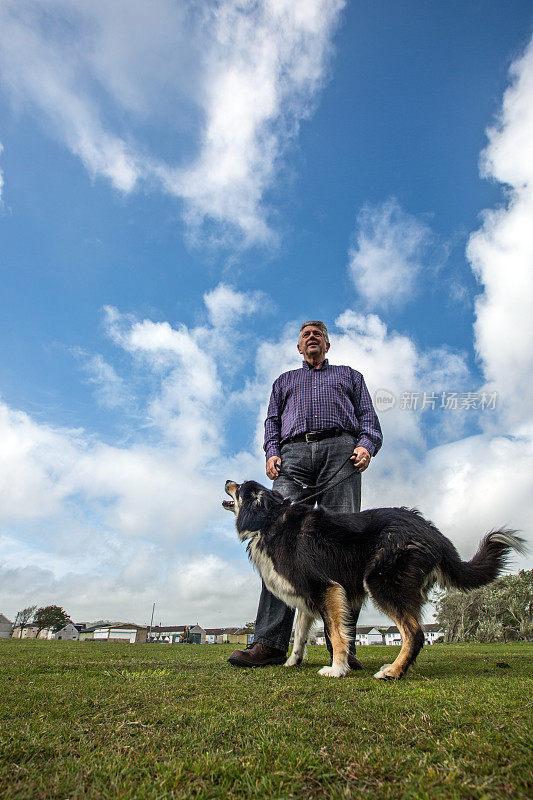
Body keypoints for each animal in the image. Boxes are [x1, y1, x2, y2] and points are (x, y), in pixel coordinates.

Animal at [221, 478, 524, 680]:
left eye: (241, 487)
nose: (227, 481)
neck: (271, 520)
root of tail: (432, 532)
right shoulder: (309, 595)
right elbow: (300, 636)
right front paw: (292, 662)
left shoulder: (327, 588)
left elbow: (336, 634)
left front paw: (337, 669)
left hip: (382, 584)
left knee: (414, 633)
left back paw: (394, 671)